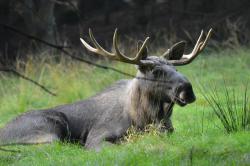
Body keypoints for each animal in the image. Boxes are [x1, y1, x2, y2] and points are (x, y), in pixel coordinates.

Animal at [0, 28, 211, 150]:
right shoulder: (97, 136)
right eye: (156, 71)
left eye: (176, 68)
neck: (144, 117)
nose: (187, 89)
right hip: (50, 129)